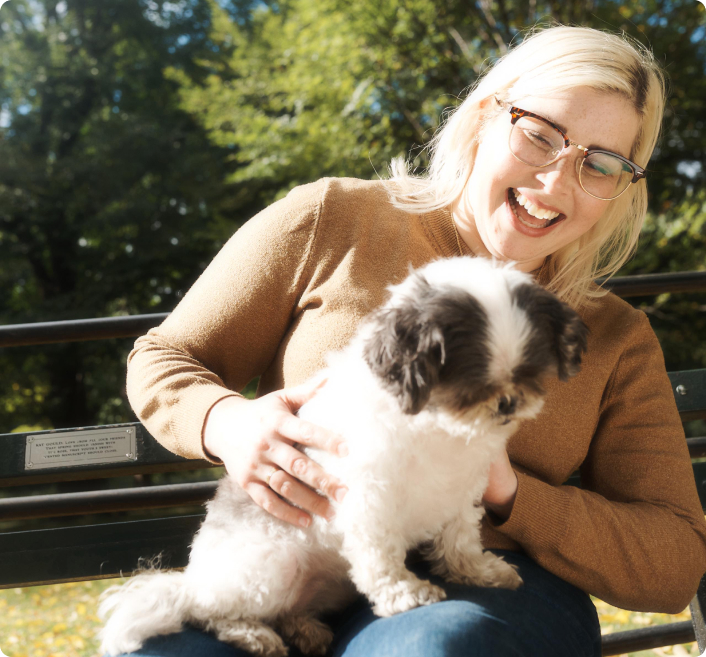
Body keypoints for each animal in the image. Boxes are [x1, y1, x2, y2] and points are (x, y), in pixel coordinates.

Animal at [97, 255, 584, 656]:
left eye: (527, 372)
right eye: (472, 384)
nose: (507, 403)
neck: (434, 426)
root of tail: (193, 579)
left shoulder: (461, 490)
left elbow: (460, 540)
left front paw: (478, 572)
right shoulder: (368, 499)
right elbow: (379, 557)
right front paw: (405, 594)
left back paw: (305, 630)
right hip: (267, 569)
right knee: (207, 611)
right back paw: (253, 634)